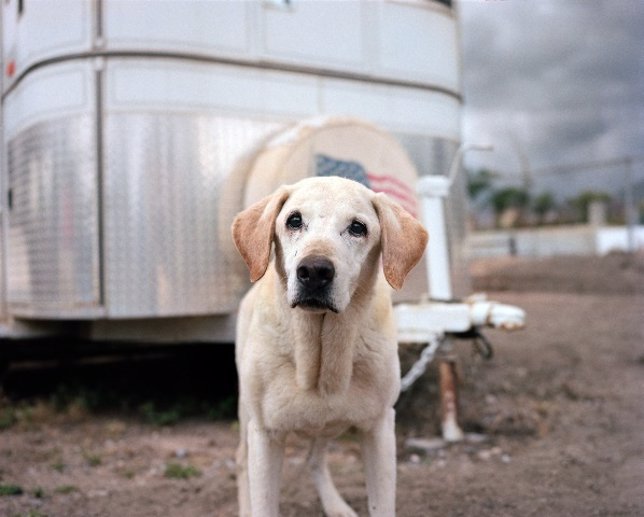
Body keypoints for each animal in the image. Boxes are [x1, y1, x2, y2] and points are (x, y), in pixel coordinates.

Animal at [231, 175, 428, 512]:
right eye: (294, 220)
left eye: (358, 227)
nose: (314, 271)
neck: (321, 357)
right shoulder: (266, 433)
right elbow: (263, 503)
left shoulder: (379, 429)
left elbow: (381, 505)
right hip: (247, 415)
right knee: (242, 463)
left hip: (326, 424)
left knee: (314, 458)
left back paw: (337, 507)